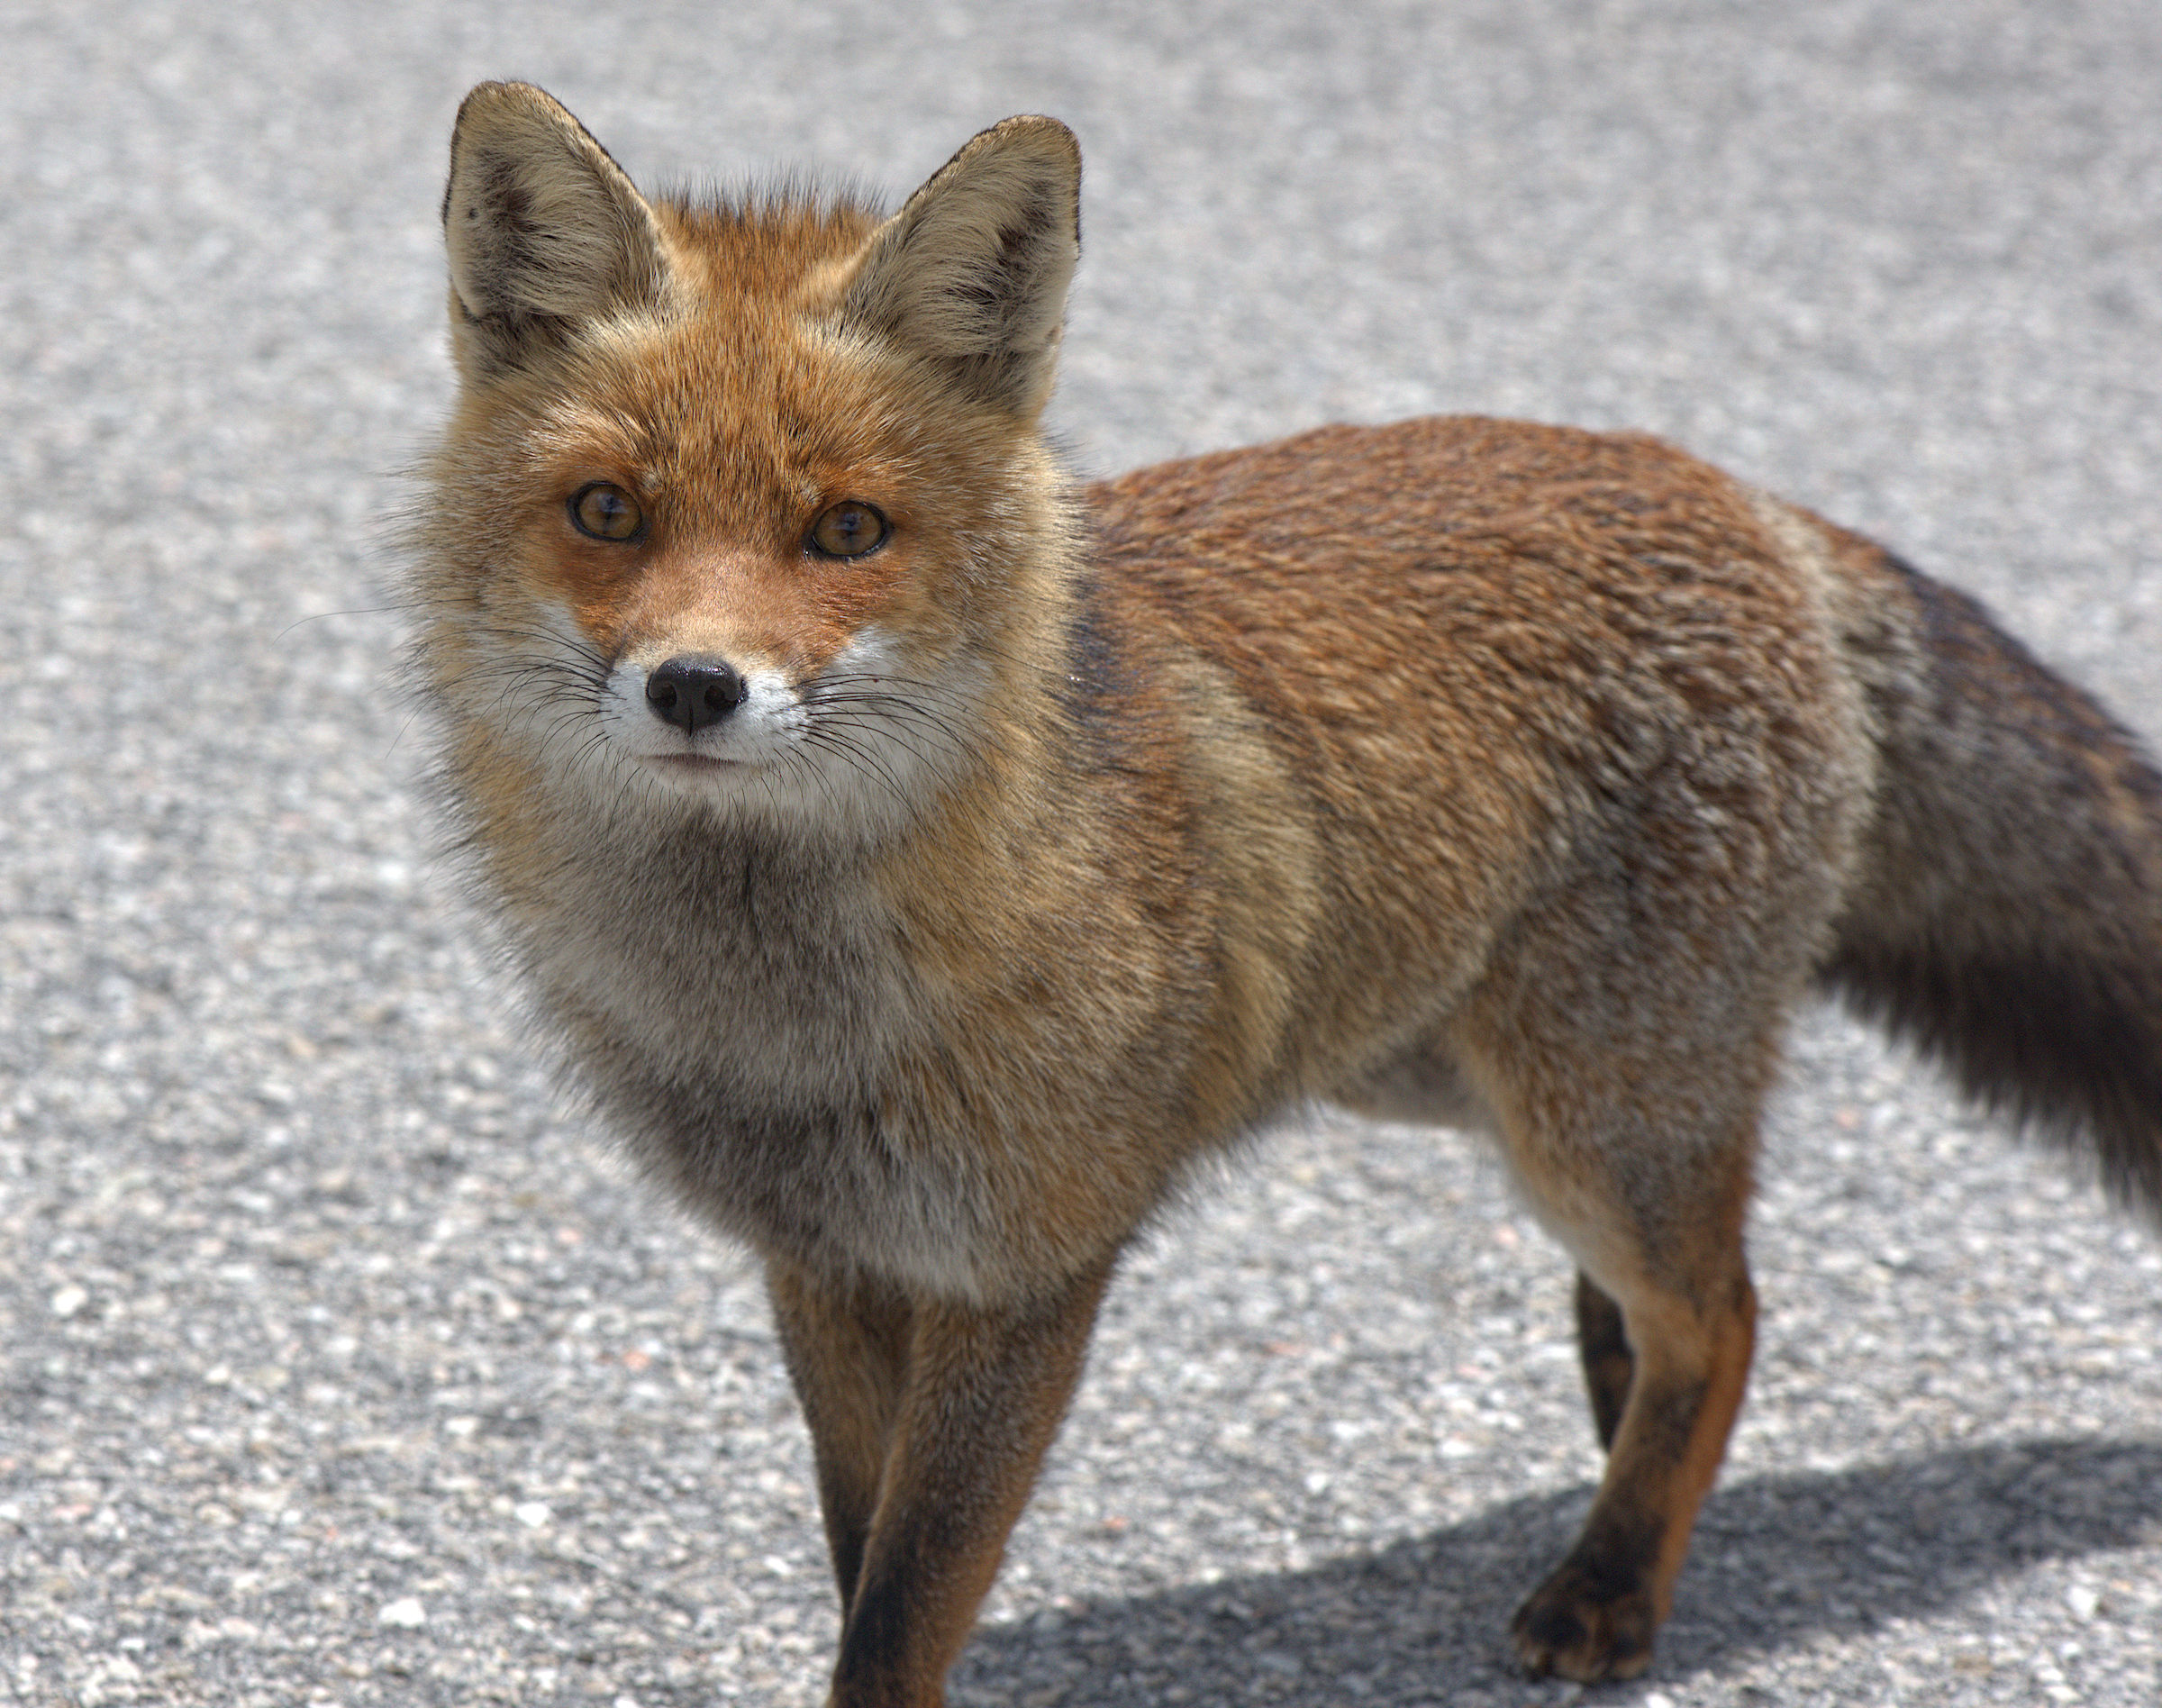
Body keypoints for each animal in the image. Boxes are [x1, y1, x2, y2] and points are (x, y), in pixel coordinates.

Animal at [408, 81, 2162, 1706]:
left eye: (847, 528)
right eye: (609, 512)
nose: (696, 687)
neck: (793, 1023)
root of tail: (1746, 499)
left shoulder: (1026, 1279)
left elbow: (902, 1612)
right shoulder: (825, 1264)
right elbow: (860, 1564)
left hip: (1585, 1118)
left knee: (1720, 1316)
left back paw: (1611, 1581)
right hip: (1445, 1076)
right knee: (1672, 1308)